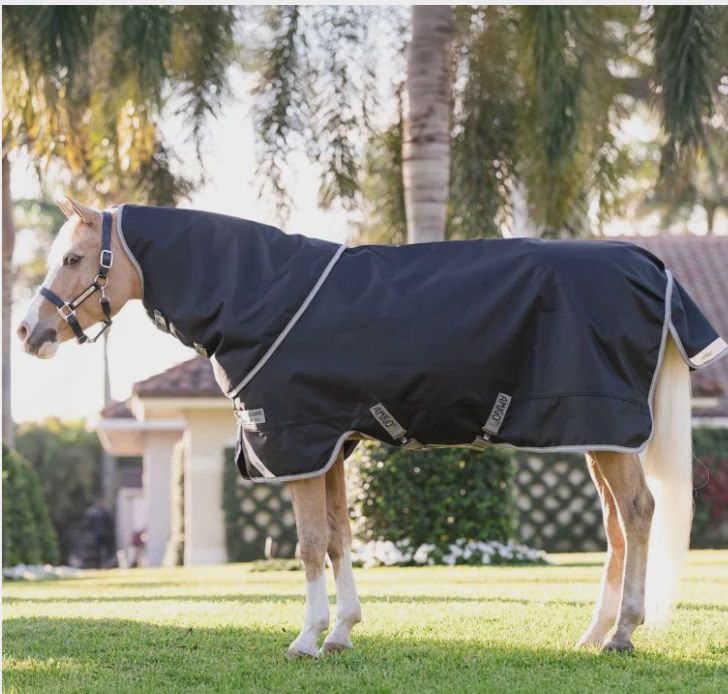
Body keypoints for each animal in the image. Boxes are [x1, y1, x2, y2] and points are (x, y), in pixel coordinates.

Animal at [18, 197, 705, 657]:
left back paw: (623, 633)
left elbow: (308, 543)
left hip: (607, 428)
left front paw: (307, 638)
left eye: (74, 257)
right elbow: (340, 537)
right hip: (597, 434)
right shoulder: (331, 445)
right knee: (616, 526)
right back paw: (593, 633)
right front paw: (343, 631)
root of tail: (651, 267)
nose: (28, 331)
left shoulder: (296, 441)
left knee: (639, 513)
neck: (256, 295)